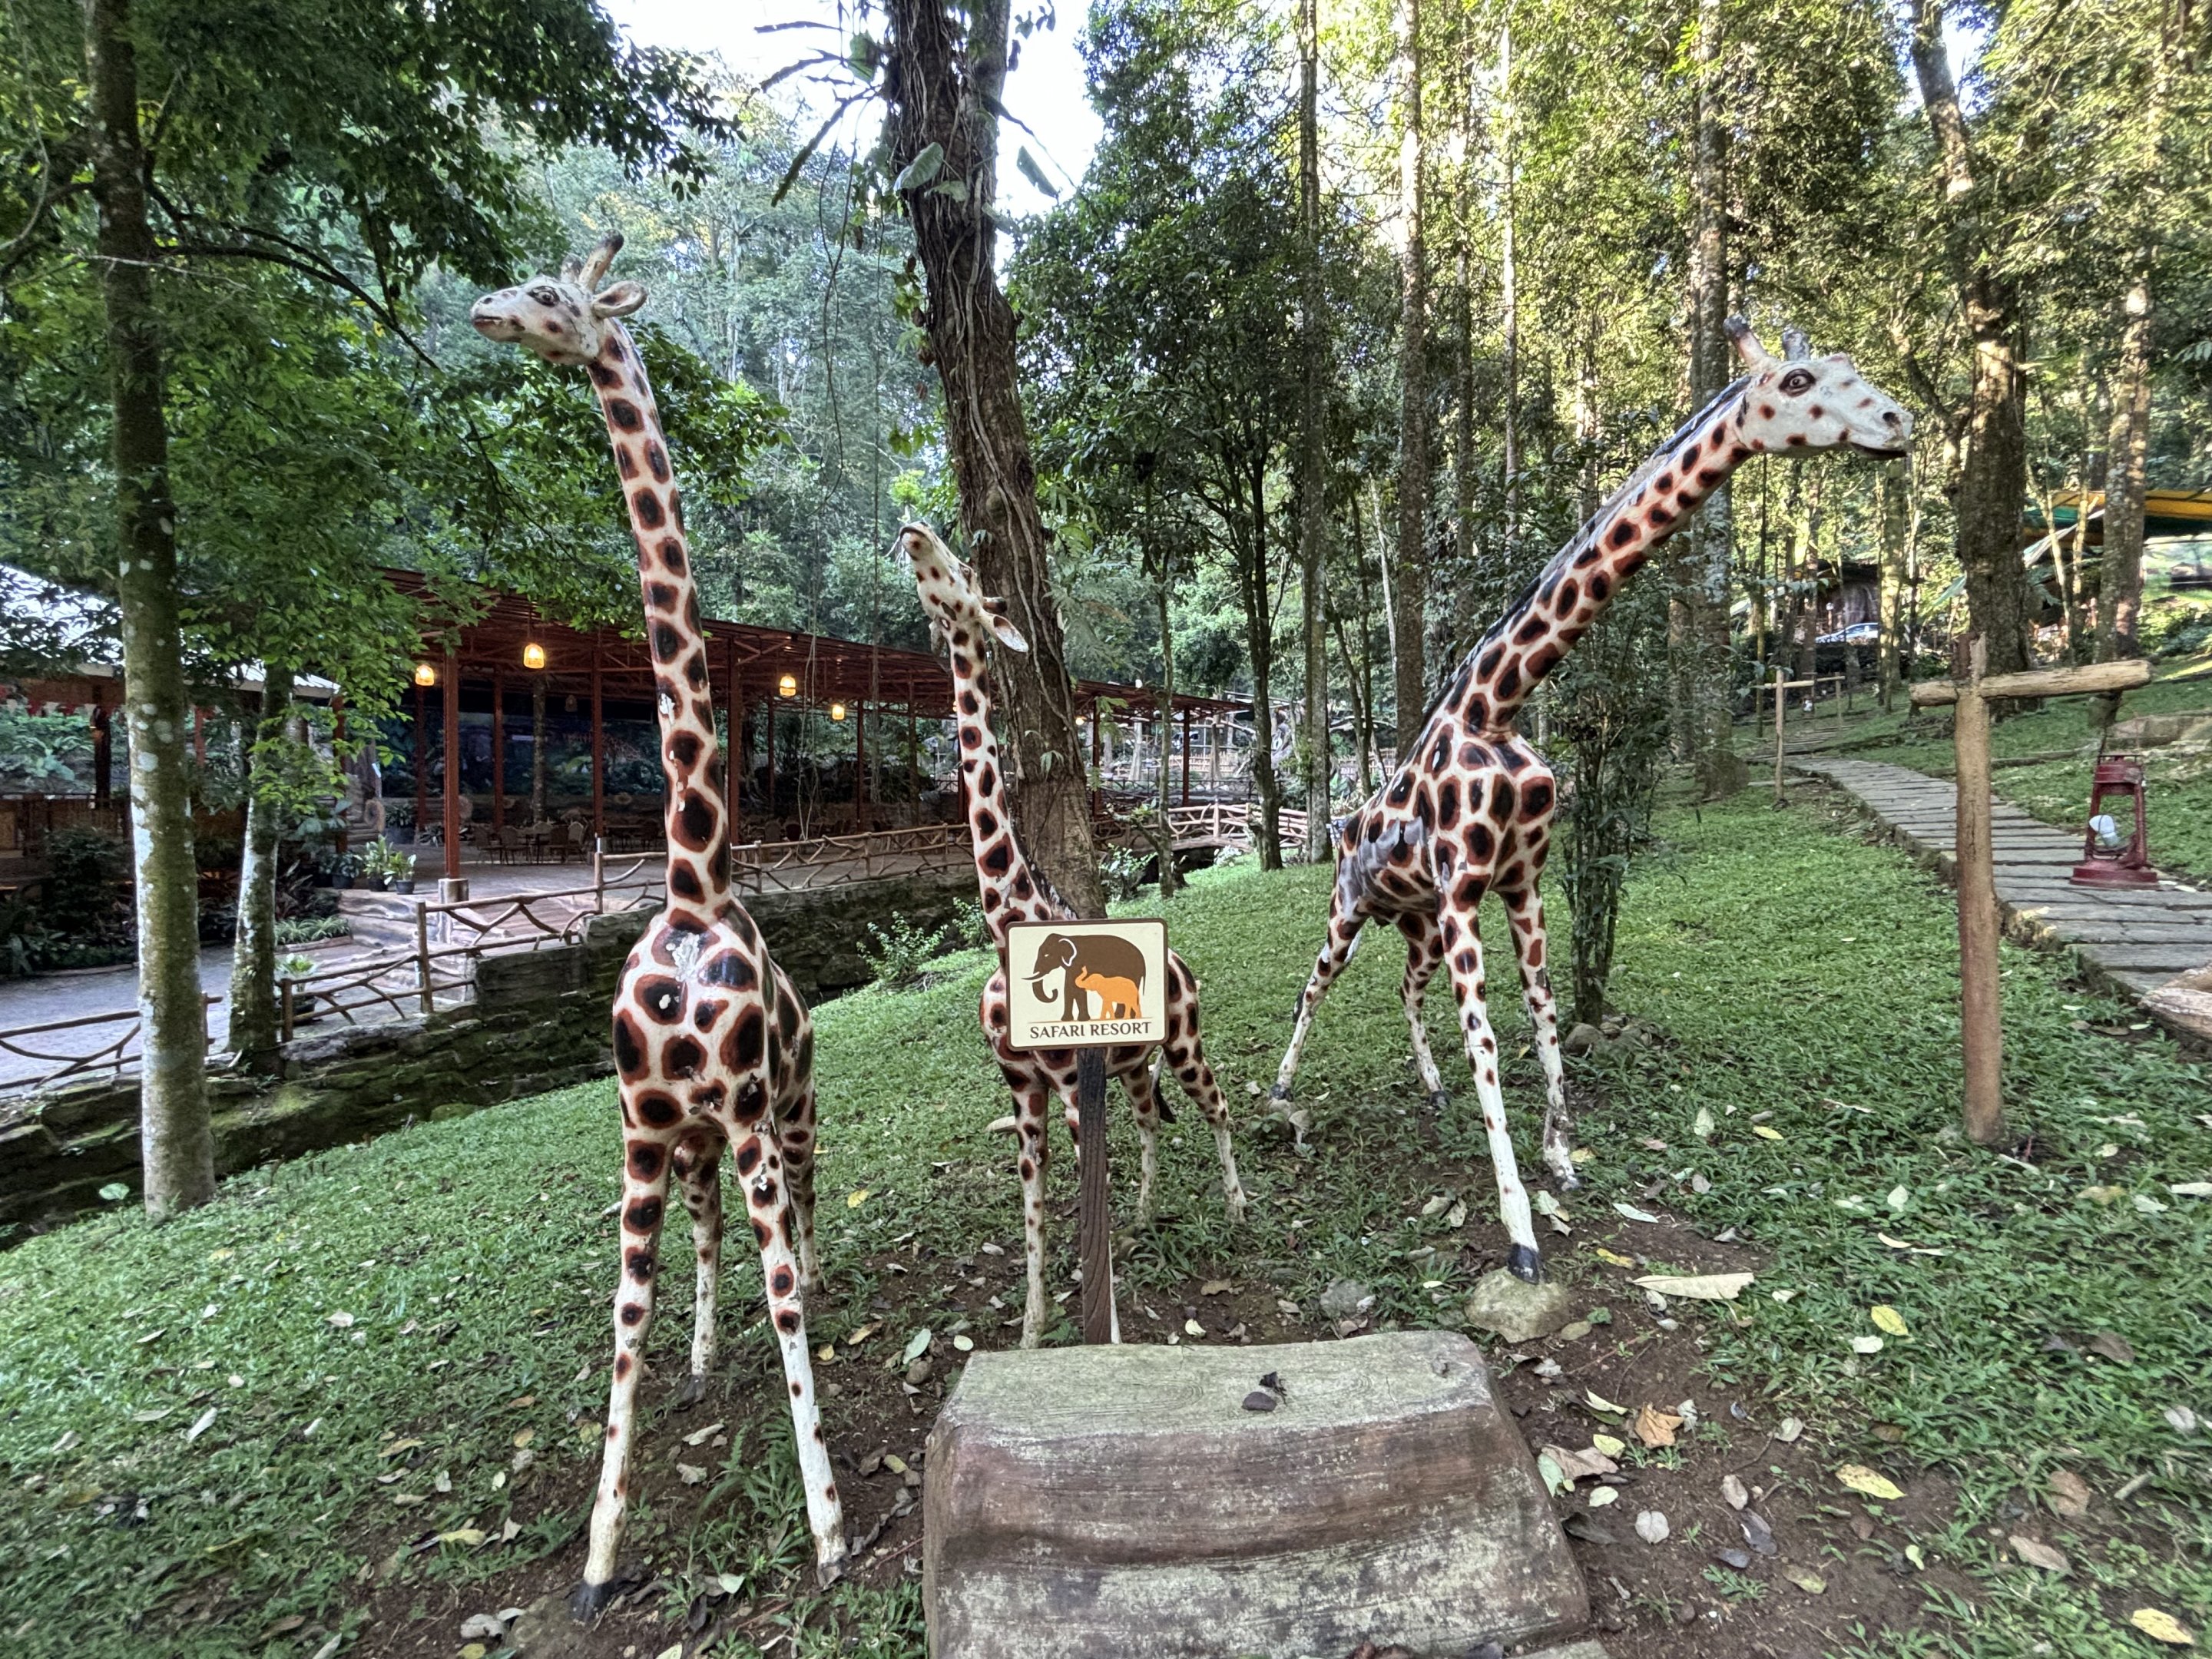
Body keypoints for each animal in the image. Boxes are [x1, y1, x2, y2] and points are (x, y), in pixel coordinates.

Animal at [470, 235, 845, 1616]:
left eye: (555, 295)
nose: (491, 310)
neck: (689, 882)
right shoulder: (639, 1127)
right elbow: (620, 1318)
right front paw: (595, 1559)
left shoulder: (746, 1113)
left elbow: (785, 1289)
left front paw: (832, 1533)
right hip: (691, 1142)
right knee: (711, 1232)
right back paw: (699, 1353)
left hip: (789, 1106)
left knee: (797, 1213)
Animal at [897, 522, 1247, 1346]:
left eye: (968, 575)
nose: (914, 532)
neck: (1008, 926)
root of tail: (1183, 965)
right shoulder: (1023, 1089)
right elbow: (1034, 1212)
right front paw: (1029, 1333)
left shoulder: (1068, 1087)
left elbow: (1090, 1211)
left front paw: (1107, 1340)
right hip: (1135, 1064)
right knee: (1152, 1119)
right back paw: (1151, 1213)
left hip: (1184, 1043)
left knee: (1218, 1108)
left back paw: (1240, 1209)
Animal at [1272, 320, 1911, 1282]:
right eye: (1798, 381)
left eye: (1850, 368)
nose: (1897, 423)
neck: (1496, 703)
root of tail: (1346, 823)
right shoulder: (1465, 893)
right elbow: (1490, 1040)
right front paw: (1521, 1236)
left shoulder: (1519, 884)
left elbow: (1540, 1014)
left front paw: (1563, 1163)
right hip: (1352, 907)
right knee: (1316, 985)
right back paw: (1278, 1092)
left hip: (1414, 922)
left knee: (1403, 991)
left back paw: (1430, 1092)